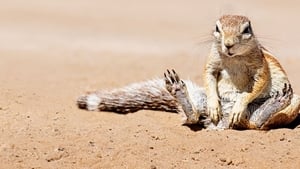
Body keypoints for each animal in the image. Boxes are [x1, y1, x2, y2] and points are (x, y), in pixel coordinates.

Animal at [77, 15, 300, 130]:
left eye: (246, 30)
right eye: (217, 28)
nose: (228, 44)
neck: (233, 58)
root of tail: (223, 123)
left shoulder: (260, 66)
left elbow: (257, 84)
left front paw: (240, 103)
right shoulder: (212, 61)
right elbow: (209, 77)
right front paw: (214, 104)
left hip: (294, 101)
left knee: (257, 124)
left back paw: (270, 105)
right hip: (198, 100)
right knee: (193, 117)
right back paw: (180, 91)